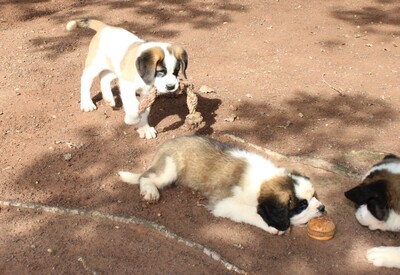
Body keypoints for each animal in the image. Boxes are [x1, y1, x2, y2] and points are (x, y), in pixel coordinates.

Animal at [119, 136, 324, 235]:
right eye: (302, 205)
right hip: (169, 169)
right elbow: (251, 212)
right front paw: (273, 227)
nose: (322, 208)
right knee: (145, 177)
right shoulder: (224, 203)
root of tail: (165, 144)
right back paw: (150, 191)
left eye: (315, 196)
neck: (263, 181)